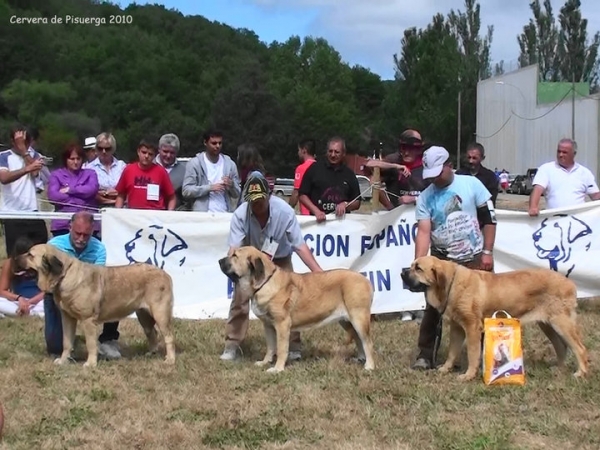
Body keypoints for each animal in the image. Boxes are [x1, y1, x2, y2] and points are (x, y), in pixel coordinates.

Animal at [20, 244, 176, 368]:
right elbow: (66, 342)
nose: (15, 258)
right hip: (143, 315)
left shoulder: (88, 320)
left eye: (30, 255)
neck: (65, 275)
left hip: (160, 313)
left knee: (169, 336)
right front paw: (63, 361)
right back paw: (151, 353)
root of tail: (166, 274)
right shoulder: (67, 318)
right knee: (152, 332)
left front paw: (90, 363)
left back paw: (170, 360)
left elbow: (91, 344)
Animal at [216, 246, 376, 372]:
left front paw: (277, 368)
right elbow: (271, 346)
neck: (265, 282)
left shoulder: (282, 324)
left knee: (367, 342)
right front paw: (265, 362)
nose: (219, 261)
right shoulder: (268, 325)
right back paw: (360, 359)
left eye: (235, 256)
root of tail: (366, 280)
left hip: (358, 318)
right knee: (358, 339)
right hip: (346, 321)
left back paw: (369, 366)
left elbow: (281, 348)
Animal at [400, 256, 588, 380]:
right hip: (547, 324)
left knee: (579, 348)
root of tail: (570, 283)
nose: (402, 273)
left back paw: (580, 373)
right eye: (411, 266)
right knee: (561, 346)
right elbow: (452, 351)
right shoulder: (457, 328)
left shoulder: (472, 327)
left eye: (418, 268)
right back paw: (559, 369)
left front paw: (468, 375)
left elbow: (473, 353)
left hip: (561, 323)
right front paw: (445, 369)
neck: (451, 284)